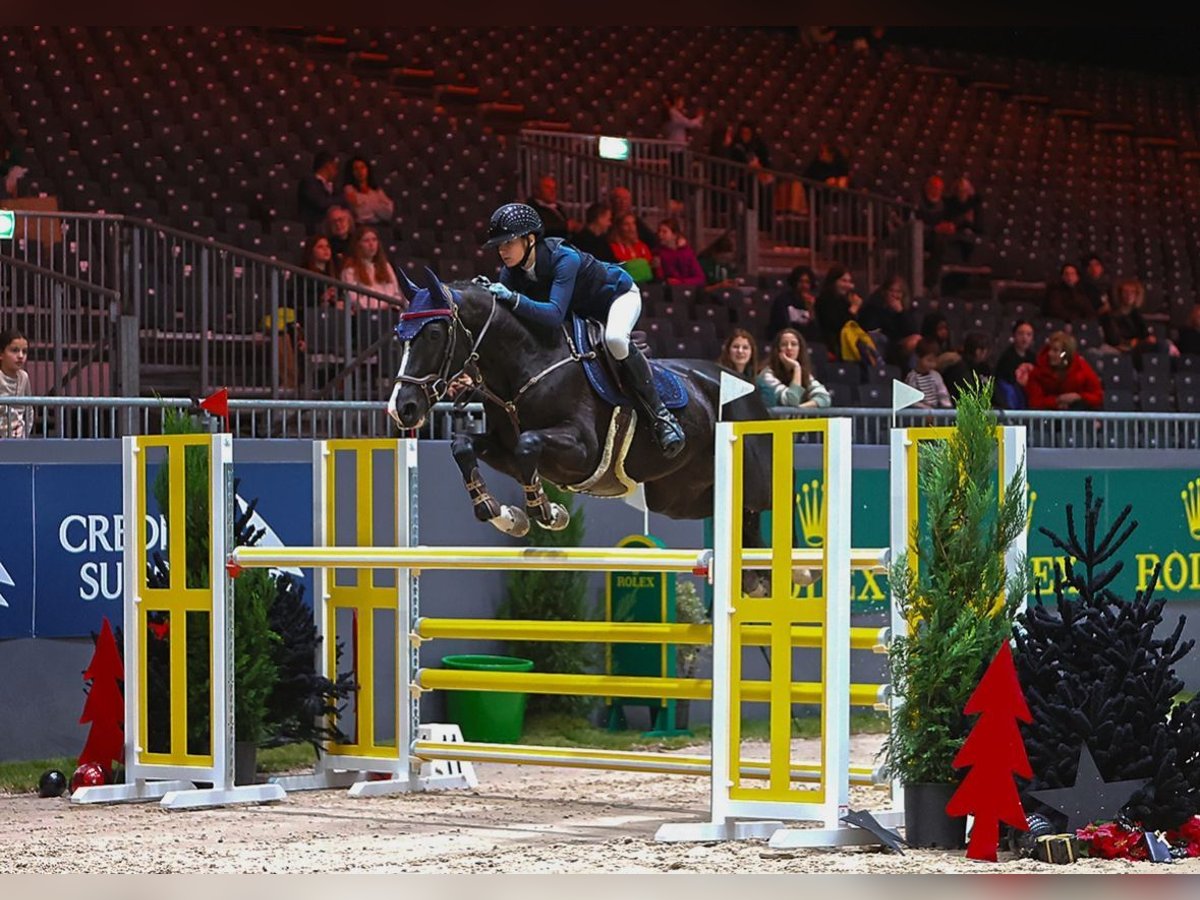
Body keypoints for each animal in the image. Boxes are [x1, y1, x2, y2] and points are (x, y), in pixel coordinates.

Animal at [388, 267, 772, 561]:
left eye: (433, 333)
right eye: (398, 336)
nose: (401, 409)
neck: (526, 363)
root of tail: (748, 389)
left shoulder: (583, 450)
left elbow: (529, 443)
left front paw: (546, 513)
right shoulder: (502, 448)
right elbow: (464, 446)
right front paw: (505, 515)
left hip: (753, 487)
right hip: (680, 498)